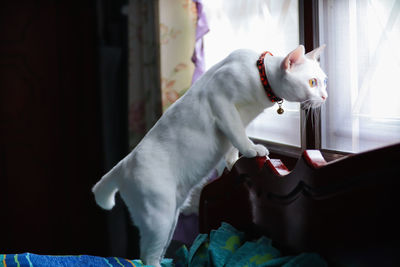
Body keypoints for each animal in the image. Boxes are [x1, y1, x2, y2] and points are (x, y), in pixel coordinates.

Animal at [93, 45, 328, 266]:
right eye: (313, 82)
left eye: (324, 81)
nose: (325, 96)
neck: (259, 74)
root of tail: (124, 164)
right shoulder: (222, 103)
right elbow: (238, 135)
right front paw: (252, 150)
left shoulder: (239, 120)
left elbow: (233, 142)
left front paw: (233, 162)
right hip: (160, 217)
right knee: (147, 257)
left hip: (170, 220)